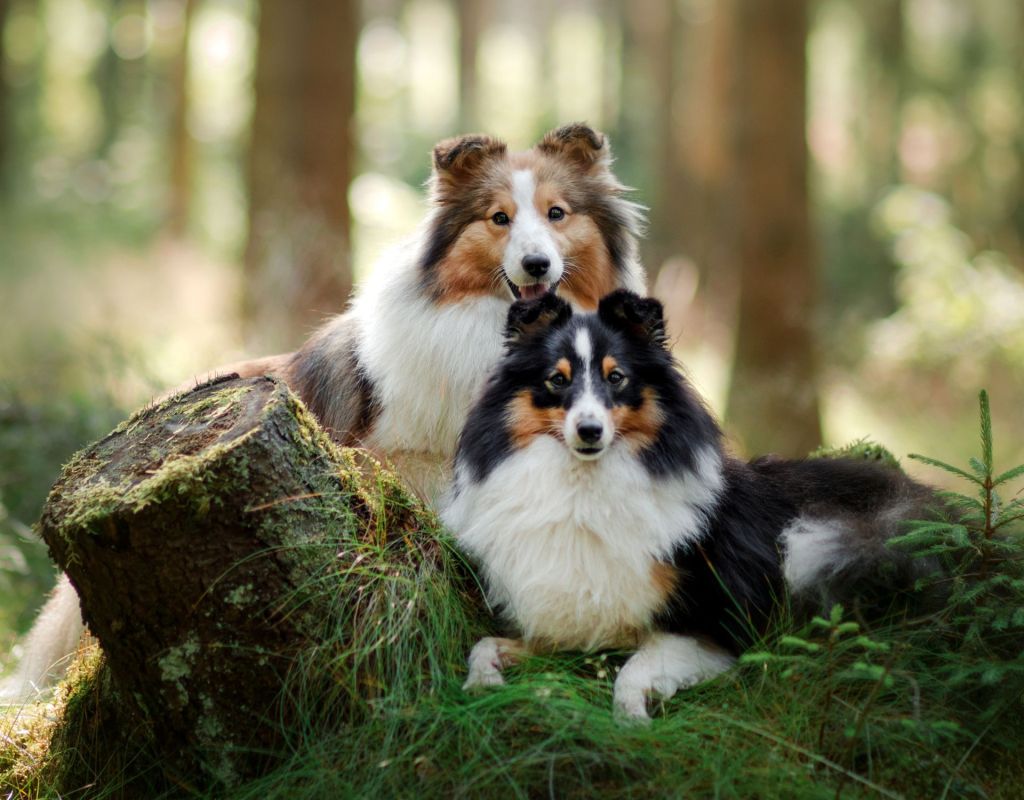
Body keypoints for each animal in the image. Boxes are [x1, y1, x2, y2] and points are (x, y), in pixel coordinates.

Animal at [444, 290, 937, 721]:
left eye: (616, 377)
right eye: (557, 380)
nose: (589, 432)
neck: (585, 487)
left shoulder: (711, 631)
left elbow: (632, 670)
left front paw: (631, 721)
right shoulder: (566, 623)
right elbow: (483, 644)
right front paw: (481, 683)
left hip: (824, 544)